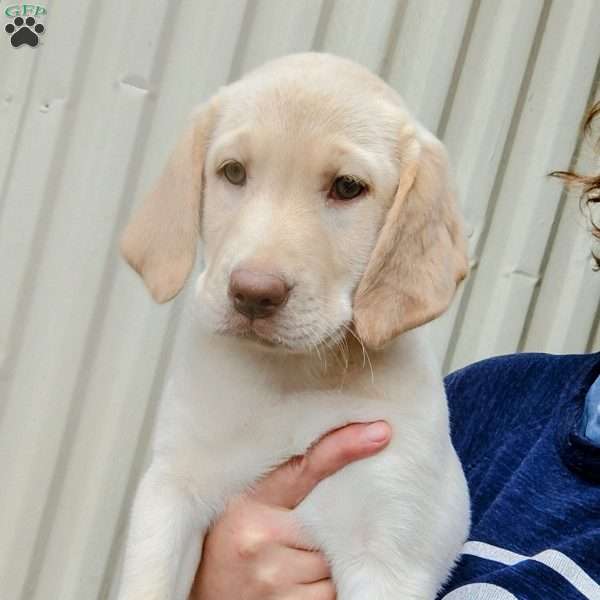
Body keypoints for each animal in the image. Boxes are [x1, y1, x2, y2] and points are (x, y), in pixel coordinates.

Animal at [117, 52, 472, 600]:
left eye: (347, 187)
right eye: (233, 172)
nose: (252, 293)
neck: (291, 378)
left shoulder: (385, 556)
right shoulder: (171, 488)